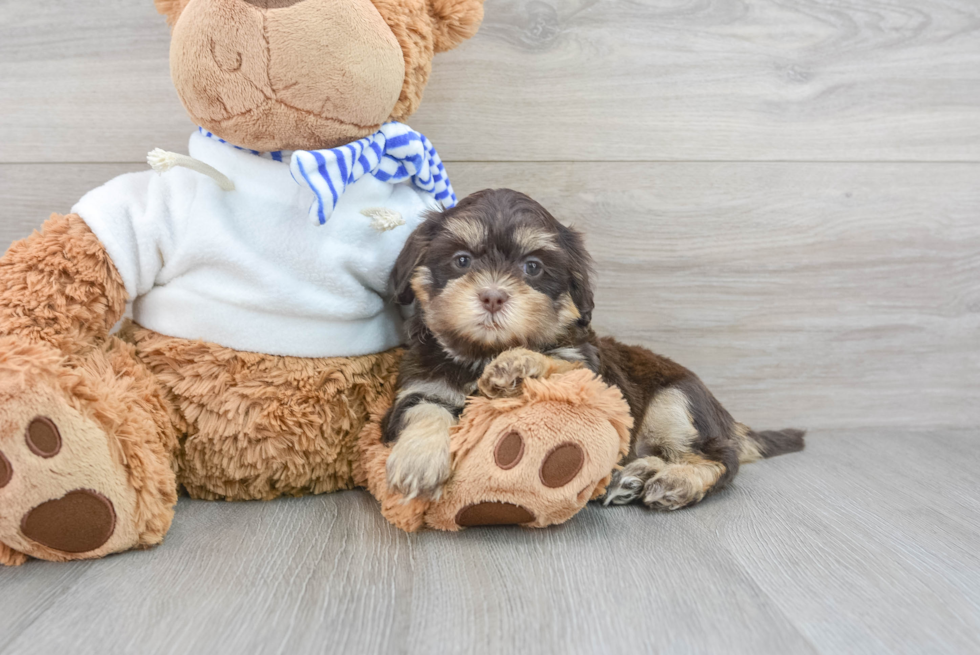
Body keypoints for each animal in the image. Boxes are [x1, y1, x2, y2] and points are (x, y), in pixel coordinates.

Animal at [378, 190, 800, 508]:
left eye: (533, 267)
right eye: (461, 260)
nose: (493, 296)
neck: (480, 352)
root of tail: (727, 420)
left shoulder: (594, 375)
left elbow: (560, 363)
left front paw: (516, 363)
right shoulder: (420, 387)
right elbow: (426, 411)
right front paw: (418, 460)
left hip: (676, 403)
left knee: (720, 459)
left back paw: (676, 481)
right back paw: (632, 476)